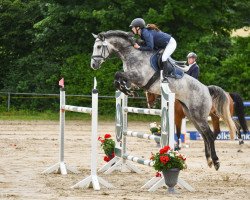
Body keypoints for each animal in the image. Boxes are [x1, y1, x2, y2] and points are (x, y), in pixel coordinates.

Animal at [90, 30, 236, 170]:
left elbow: (118, 74)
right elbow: (119, 77)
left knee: (209, 135)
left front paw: (126, 90)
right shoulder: (134, 81)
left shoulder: (139, 78)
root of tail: (206, 89)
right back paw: (209, 160)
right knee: (204, 135)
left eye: (98, 46)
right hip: (192, 115)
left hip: (199, 115)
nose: (93, 64)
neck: (133, 54)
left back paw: (216, 162)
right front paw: (127, 90)